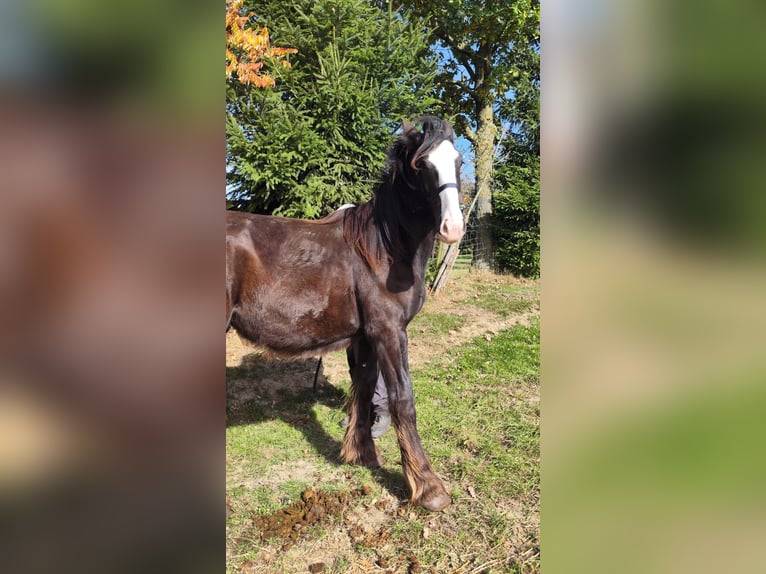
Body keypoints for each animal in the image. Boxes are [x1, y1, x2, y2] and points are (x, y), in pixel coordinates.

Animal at [225, 116, 464, 511]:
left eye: (458, 161)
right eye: (422, 165)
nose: (453, 228)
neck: (384, 250)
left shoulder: (364, 337)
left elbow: (364, 387)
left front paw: (361, 454)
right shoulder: (389, 331)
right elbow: (403, 399)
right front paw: (429, 488)